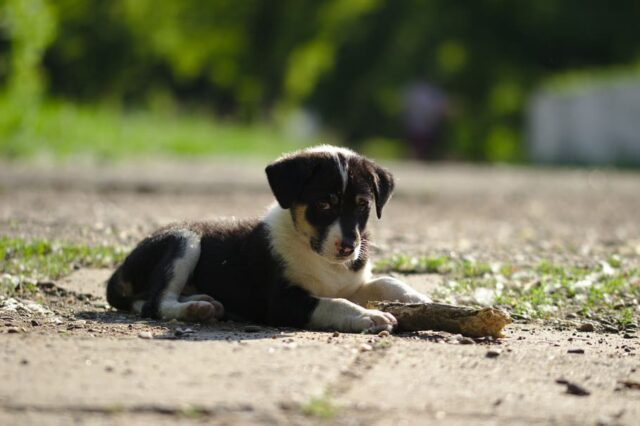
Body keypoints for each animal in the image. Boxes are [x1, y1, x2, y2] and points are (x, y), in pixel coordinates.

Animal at [106, 146, 430, 332]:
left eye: (363, 205)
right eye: (324, 204)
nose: (348, 248)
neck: (319, 256)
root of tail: (117, 273)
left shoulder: (353, 284)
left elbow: (388, 282)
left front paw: (422, 299)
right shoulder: (283, 301)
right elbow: (334, 304)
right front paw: (370, 317)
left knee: (145, 300)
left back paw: (203, 301)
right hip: (184, 240)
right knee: (156, 303)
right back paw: (196, 309)